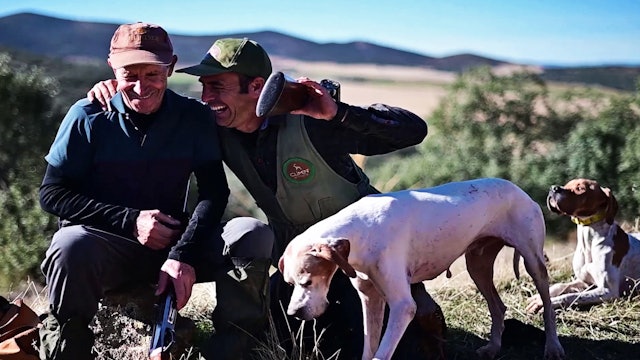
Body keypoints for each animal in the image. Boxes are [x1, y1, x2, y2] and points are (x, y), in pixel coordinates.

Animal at [278, 178, 564, 360]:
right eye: (290, 284)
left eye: (307, 281)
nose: (294, 313)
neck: (362, 230)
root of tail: (518, 188)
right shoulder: (370, 299)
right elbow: (369, 348)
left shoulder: (403, 306)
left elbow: (382, 353)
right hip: (477, 266)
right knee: (498, 307)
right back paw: (493, 348)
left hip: (533, 262)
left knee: (548, 305)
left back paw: (553, 347)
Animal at [524, 179, 640, 314]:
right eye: (567, 184)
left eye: (580, 189)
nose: (554, 188)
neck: (588, 242)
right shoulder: (585, 281)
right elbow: (559, 285)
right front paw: (538, 297)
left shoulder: (608, 291)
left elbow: (571, 296)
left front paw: (543, 304)